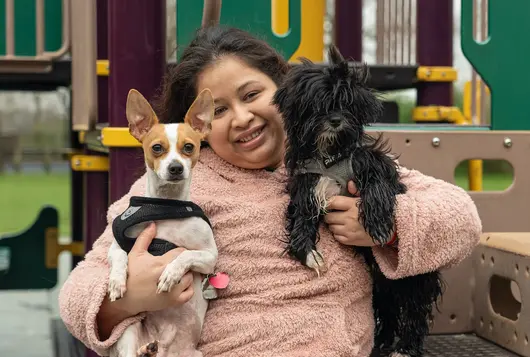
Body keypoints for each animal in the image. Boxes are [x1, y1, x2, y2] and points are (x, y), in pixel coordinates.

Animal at [106, 88, 217, 356]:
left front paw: (170, 273)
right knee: (130, 351)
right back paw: (146, 349)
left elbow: (185, 254)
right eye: (157, 148)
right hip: (128, 329)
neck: (165, 207)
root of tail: (166, 348)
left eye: (189, 147)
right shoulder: (116, 245)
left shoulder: (209, 256)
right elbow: (120, 257)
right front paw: (116, 281)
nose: (175, 167)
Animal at [274, 45, 444, 356]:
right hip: (381, 285)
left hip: (413, 280)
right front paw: (306, 251)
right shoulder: (306, 182)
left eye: (347, 103)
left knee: (415, 312)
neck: (330, 156)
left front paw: (377, 225)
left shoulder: (372, 163)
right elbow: (302, 214)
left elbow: (377, 187)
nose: (335, 120)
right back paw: (383, 343)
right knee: (388, 311)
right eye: (319, 104)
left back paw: (406, 347)